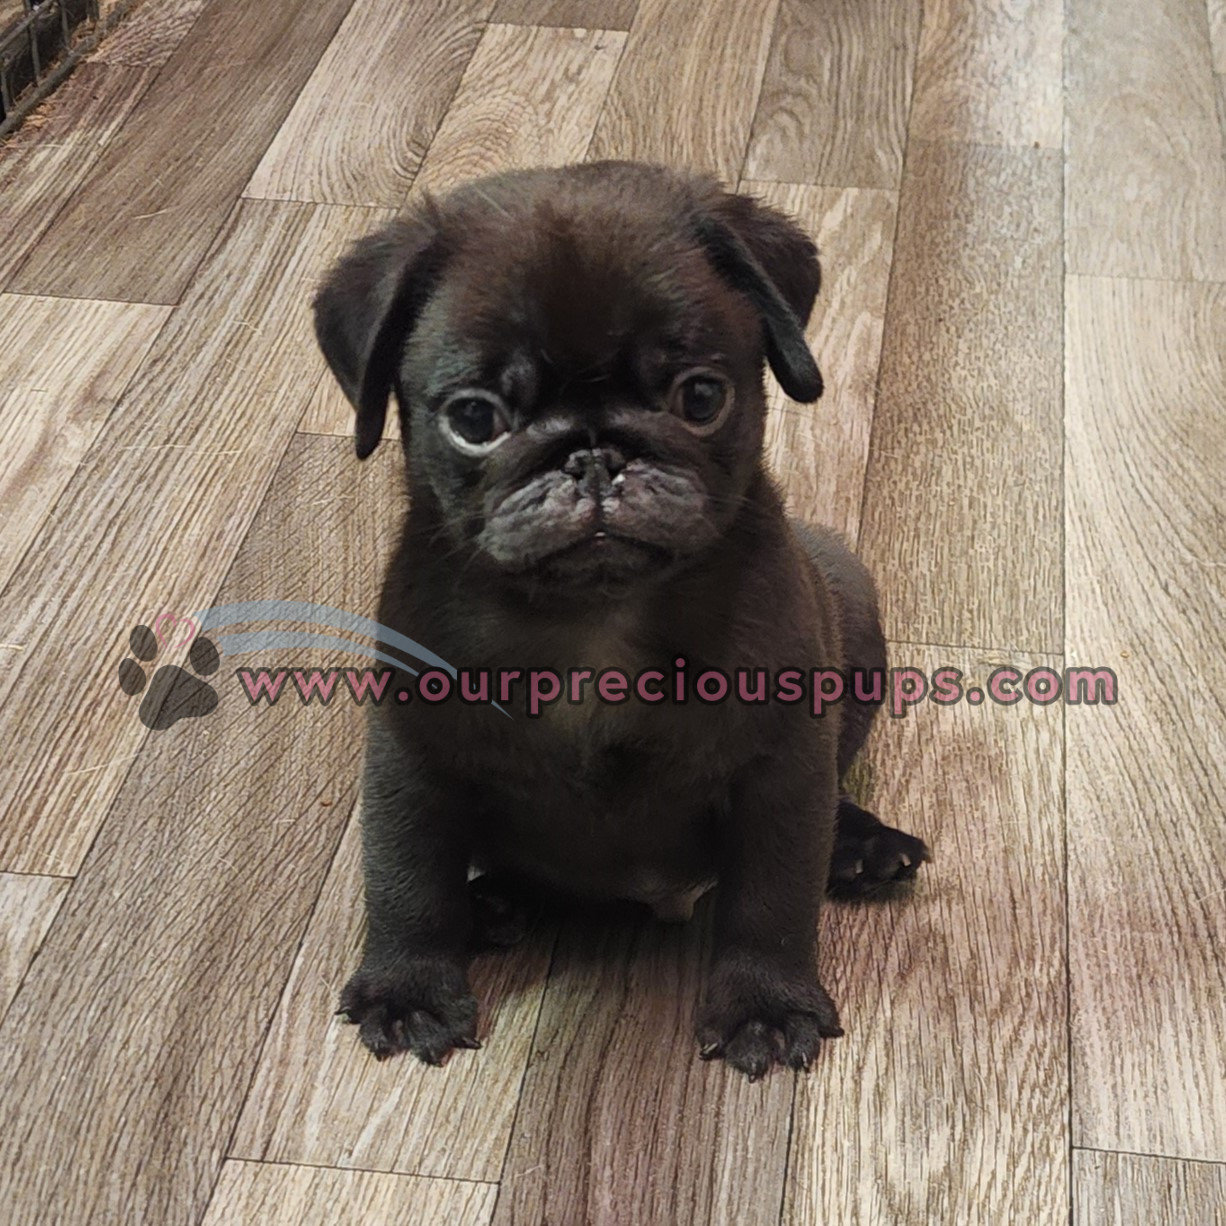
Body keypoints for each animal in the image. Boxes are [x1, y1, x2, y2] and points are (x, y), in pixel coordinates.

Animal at [314, 161, 929, 1079]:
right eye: (474, 419)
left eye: (701, 397)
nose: (595, 454)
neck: (595, 614)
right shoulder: (414, 757)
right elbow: (404, 877)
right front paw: (409, 987)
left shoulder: (781, 764)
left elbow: (774, 895)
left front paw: (765, 1003)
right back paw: (493, 903)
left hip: (851, 607)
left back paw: (861, 847)